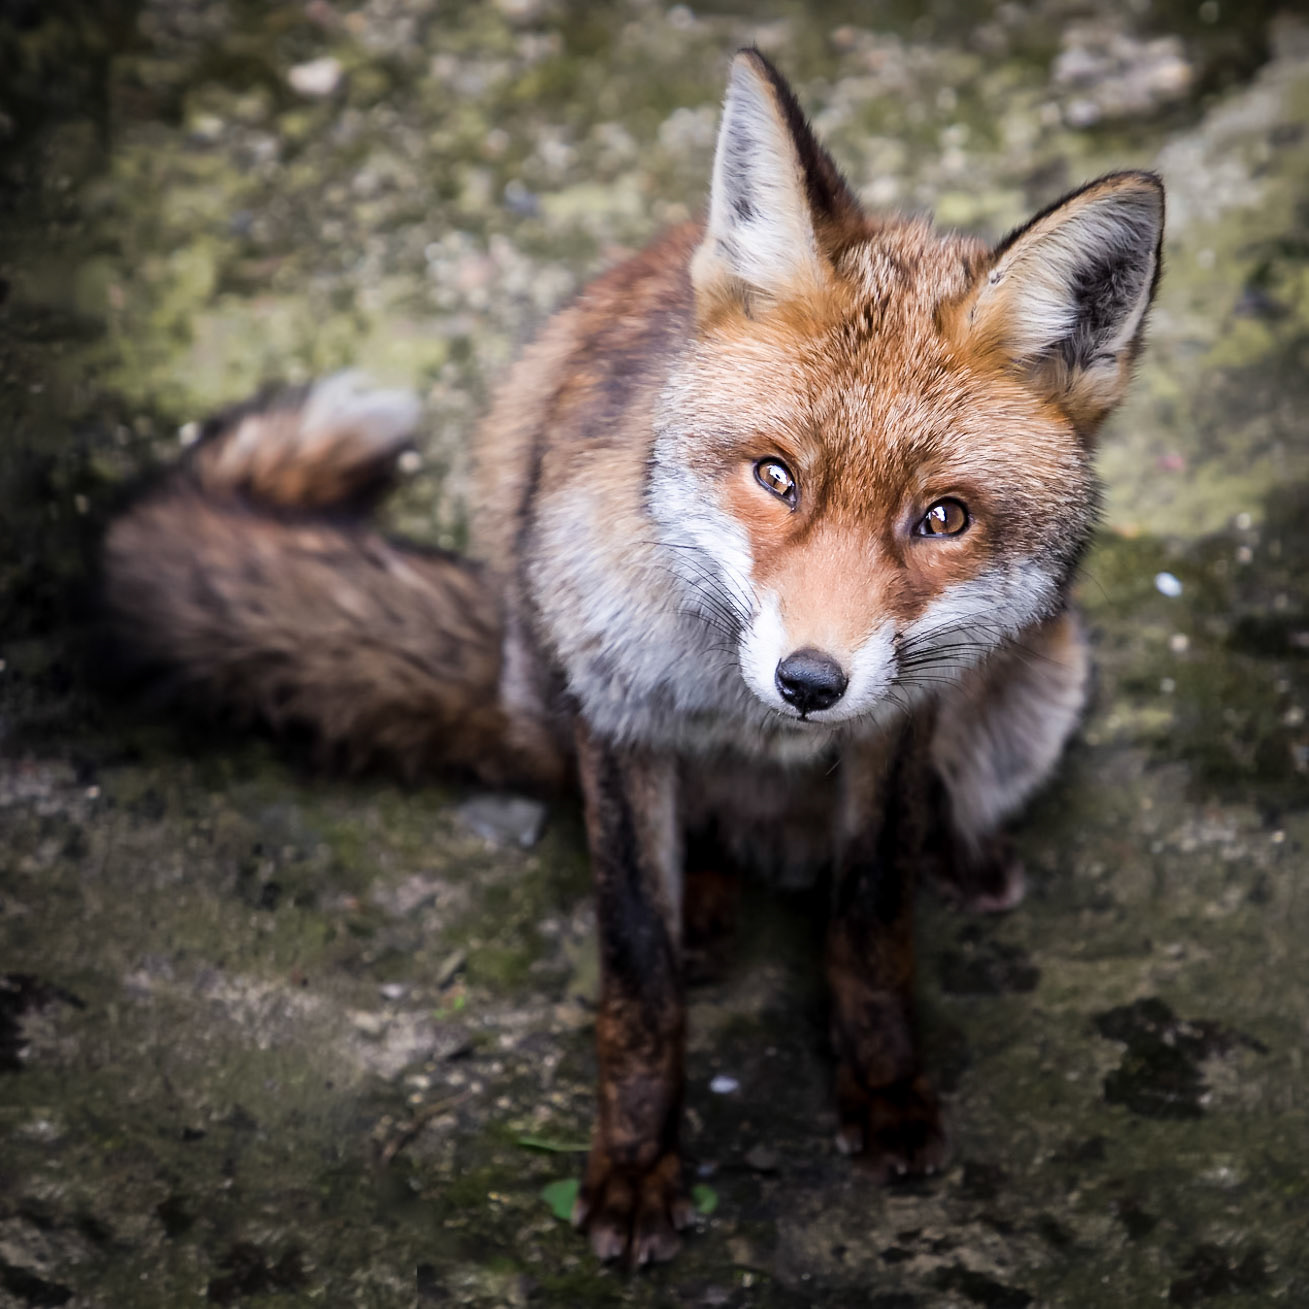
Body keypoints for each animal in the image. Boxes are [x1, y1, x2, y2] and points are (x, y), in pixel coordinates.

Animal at [102, 50, 1163, 1267]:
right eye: (775, 476)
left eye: (941, 518)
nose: (810, 682)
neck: (755, 729)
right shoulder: (615, 722)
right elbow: (638, 976)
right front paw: (634, 1165)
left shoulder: (892, 734)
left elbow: (868, 924)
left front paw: (885, 1089)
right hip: (552, 683)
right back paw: (706, 895)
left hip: (1041, 683)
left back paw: (965, 853)